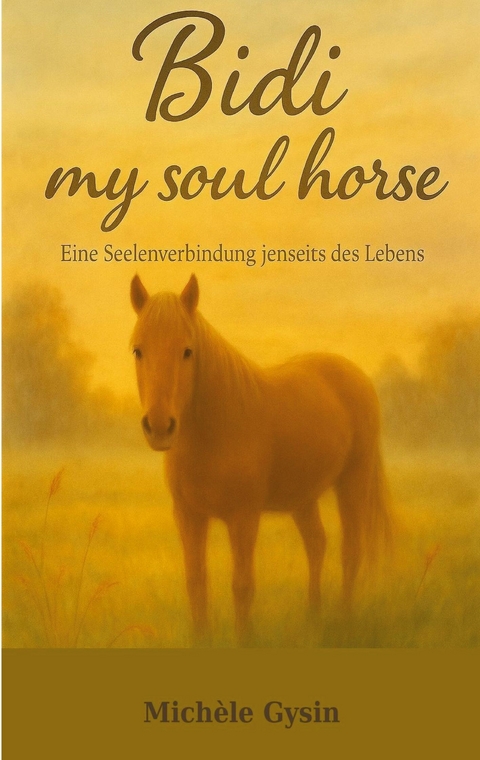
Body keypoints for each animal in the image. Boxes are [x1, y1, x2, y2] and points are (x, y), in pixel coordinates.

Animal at [130, 274, 391, 641]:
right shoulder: (188, 515)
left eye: (187, 351)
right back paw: (313, 617)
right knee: (316, 543)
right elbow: (196, 583)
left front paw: (245, 639)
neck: (215, 433)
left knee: (350, 552)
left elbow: (242, 586)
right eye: (138, 350)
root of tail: (353, 373)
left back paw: (344, 620)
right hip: (303, 496)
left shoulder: (243, 517)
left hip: (353, 481)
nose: (159, 427)